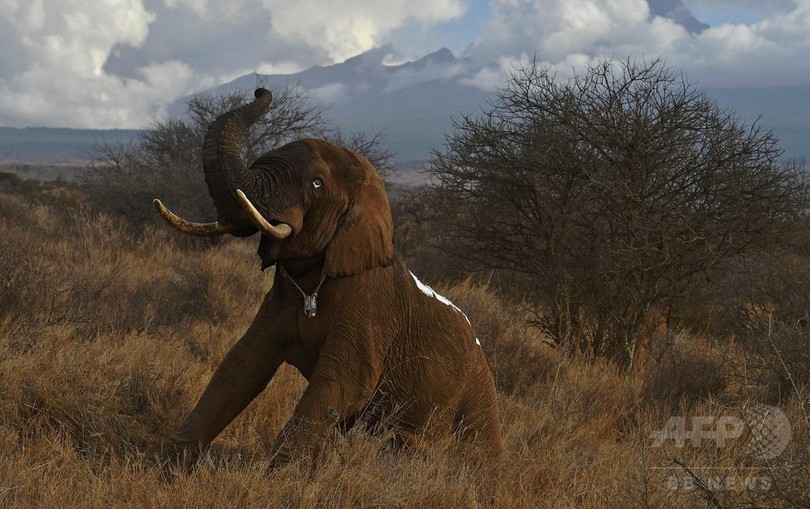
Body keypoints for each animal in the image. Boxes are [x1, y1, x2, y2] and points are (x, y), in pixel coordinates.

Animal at [153, 88, 498, 464]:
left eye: (316, 183)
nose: (262, 91)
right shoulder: (279, 301)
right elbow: (241, 365)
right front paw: (168, 464)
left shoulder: (372, 308)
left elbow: (346, 380)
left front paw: (279, 474)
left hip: (476, 397)